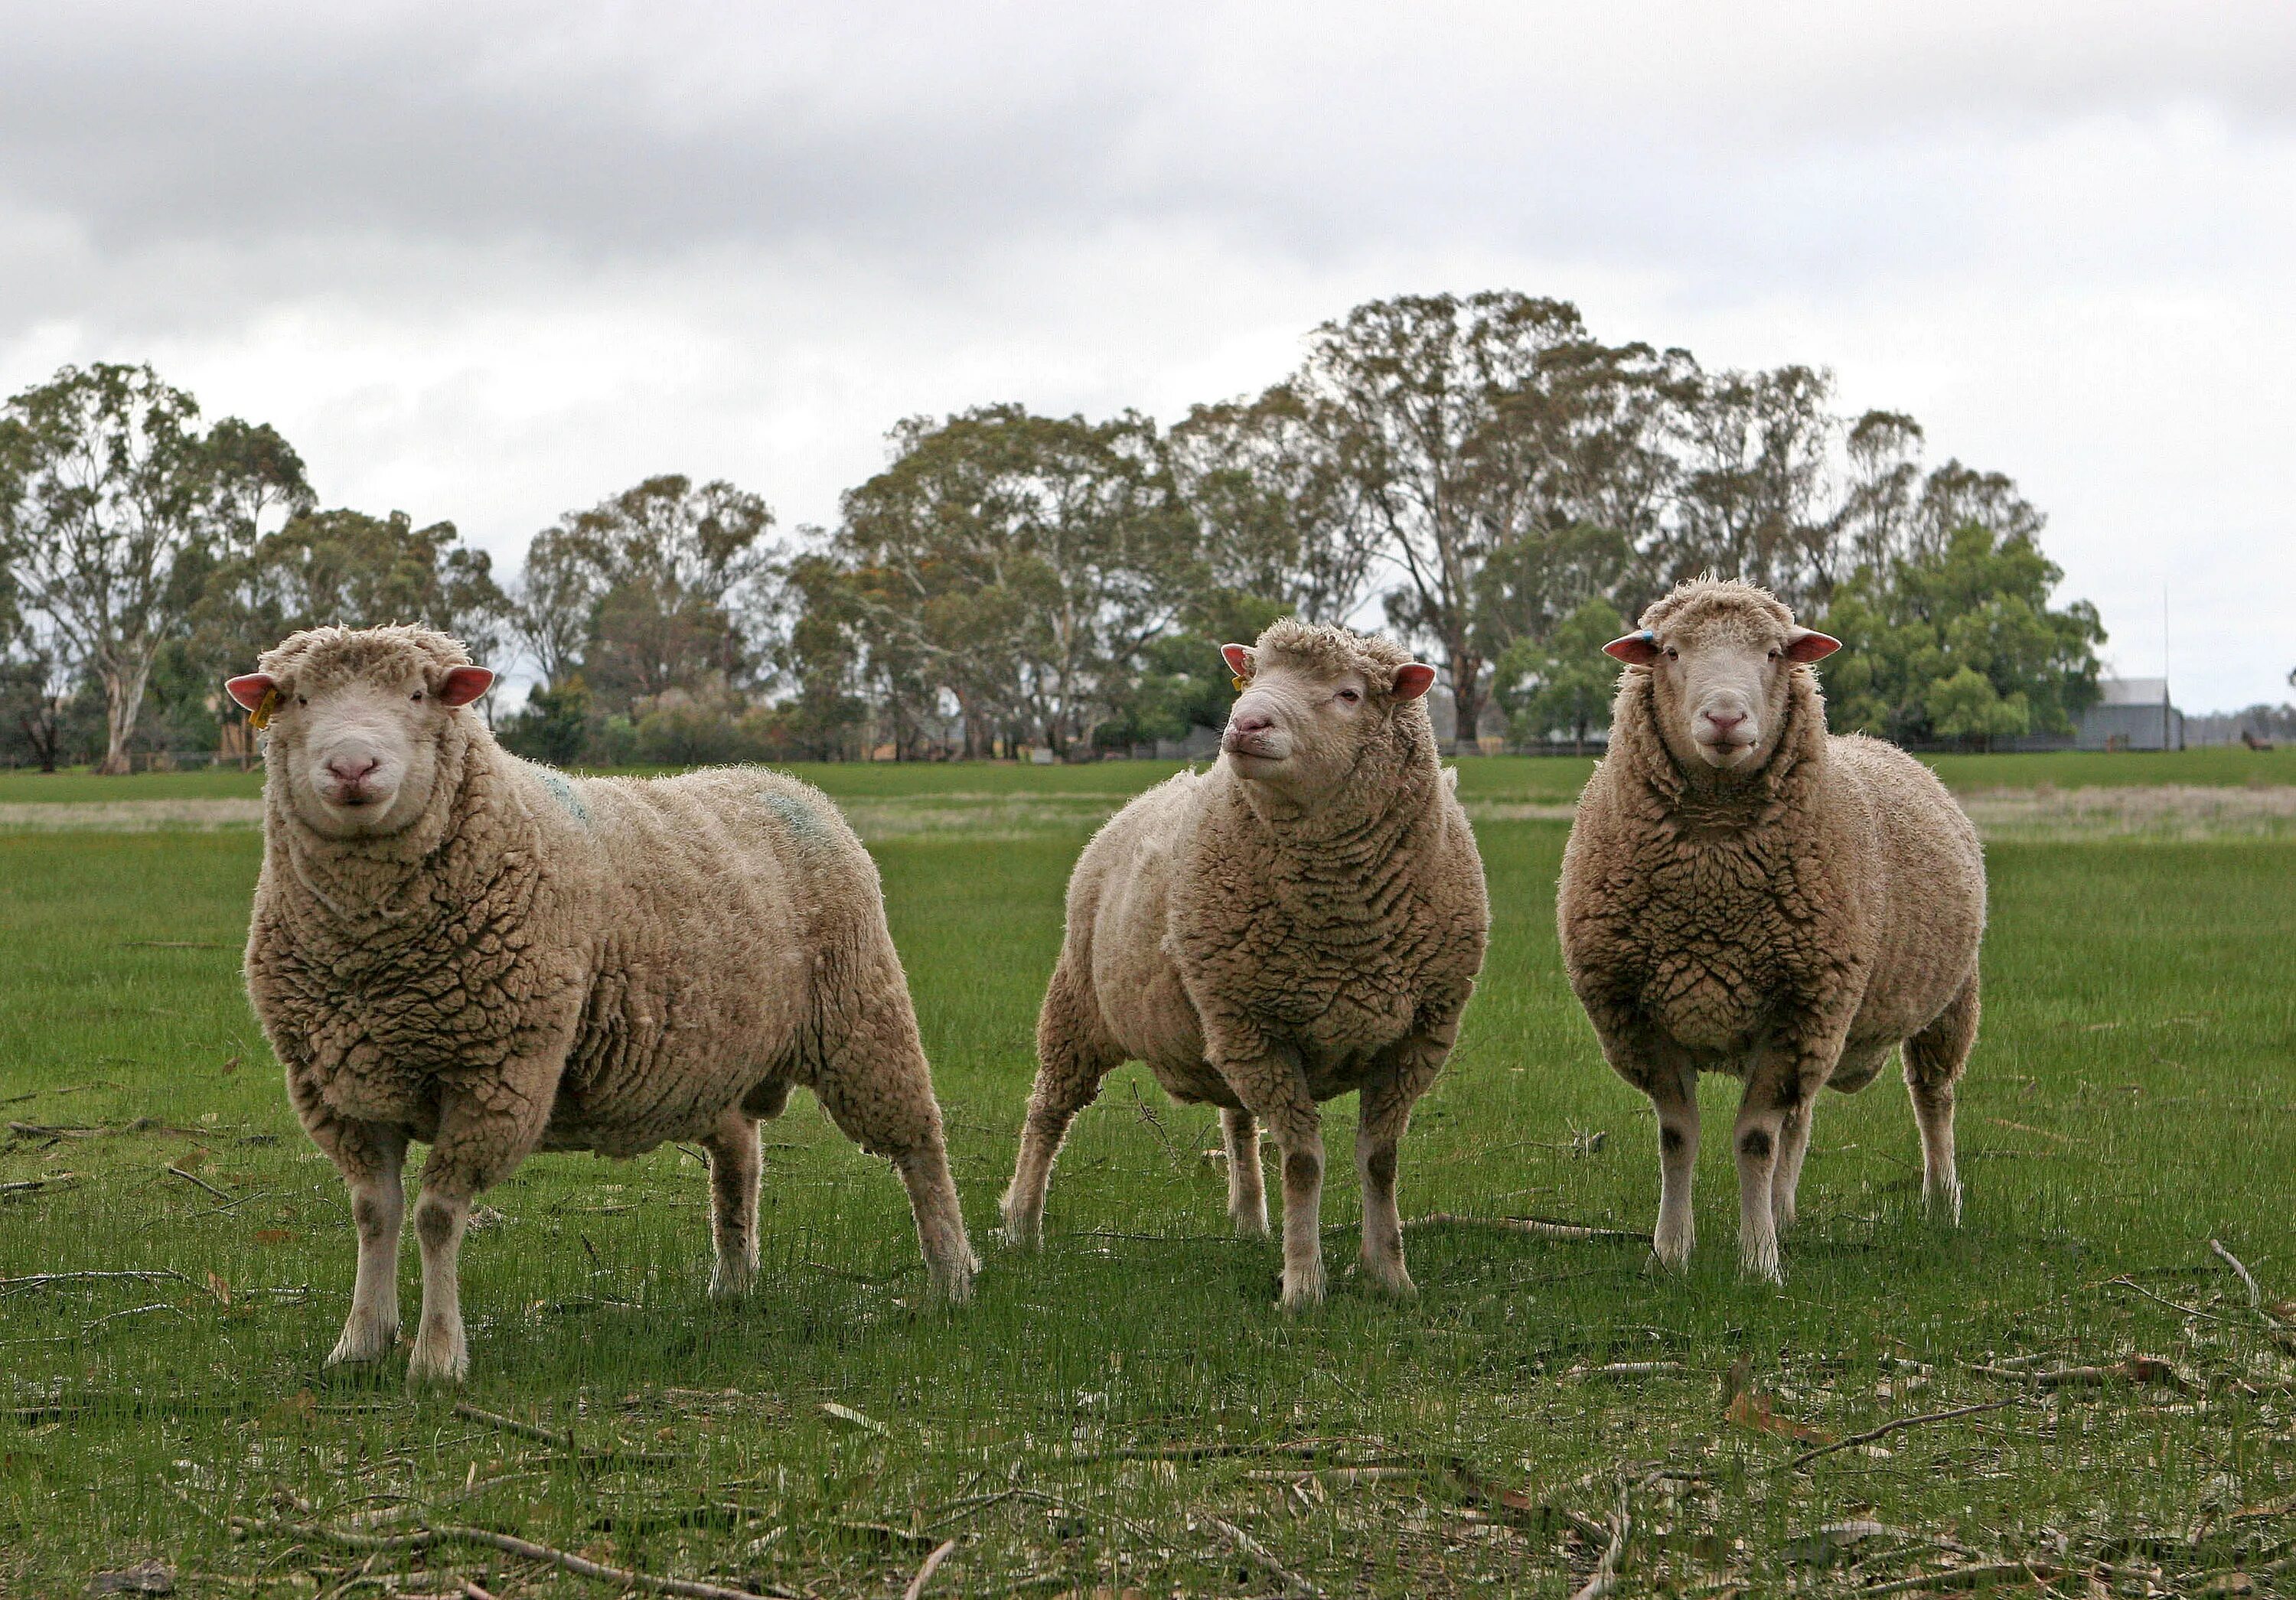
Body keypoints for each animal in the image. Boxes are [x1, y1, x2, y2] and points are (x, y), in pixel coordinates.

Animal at [230, 624, 978, 1387]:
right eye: (298, 698)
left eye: (417, 694)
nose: (352, 766)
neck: (374, 957)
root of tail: (779, 782)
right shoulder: (342, 1088)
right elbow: (373, 1212)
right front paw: (359, 1343)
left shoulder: (495, 1074)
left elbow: (437, 1217)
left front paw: (437, 1357)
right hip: (716, 1058)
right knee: (740, 1155)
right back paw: (733, 1283)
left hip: (862, 1015)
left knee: (920, 1144)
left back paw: (951, 1277)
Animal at [1001, 620, 1488, 1304]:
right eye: (1251, 678)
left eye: (1349, 693)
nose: (1245, 722)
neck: (1347, 927)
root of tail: (1152, 792)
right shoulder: (1263, 1030)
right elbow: (1304, 1161)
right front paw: (1304, 1284)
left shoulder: (1413, 1037)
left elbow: (1380, 1161)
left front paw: (1389, 1275)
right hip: (1083, 1004)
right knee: (1048, 1109)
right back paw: (1021, 1223)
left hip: (1219, 1017)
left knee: (1236, 1119)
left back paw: (1251, 1218)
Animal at [1561, 581, 1993, 1276]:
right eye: (1672, 651)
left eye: (1771, 652)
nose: (1725, 718)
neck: (1711, 888)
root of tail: (1881, 743)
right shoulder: (1644, 1015)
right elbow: (1678, 1137)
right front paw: (1671, 1252)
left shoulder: (1797, 1007)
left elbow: (1755, 1140)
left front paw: (1759, 1262)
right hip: (1827, 1022)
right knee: (1804, 1116)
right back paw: (1787, 1209)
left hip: (1945, 1001)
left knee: (1934, 1099)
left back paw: (1940, 1202)